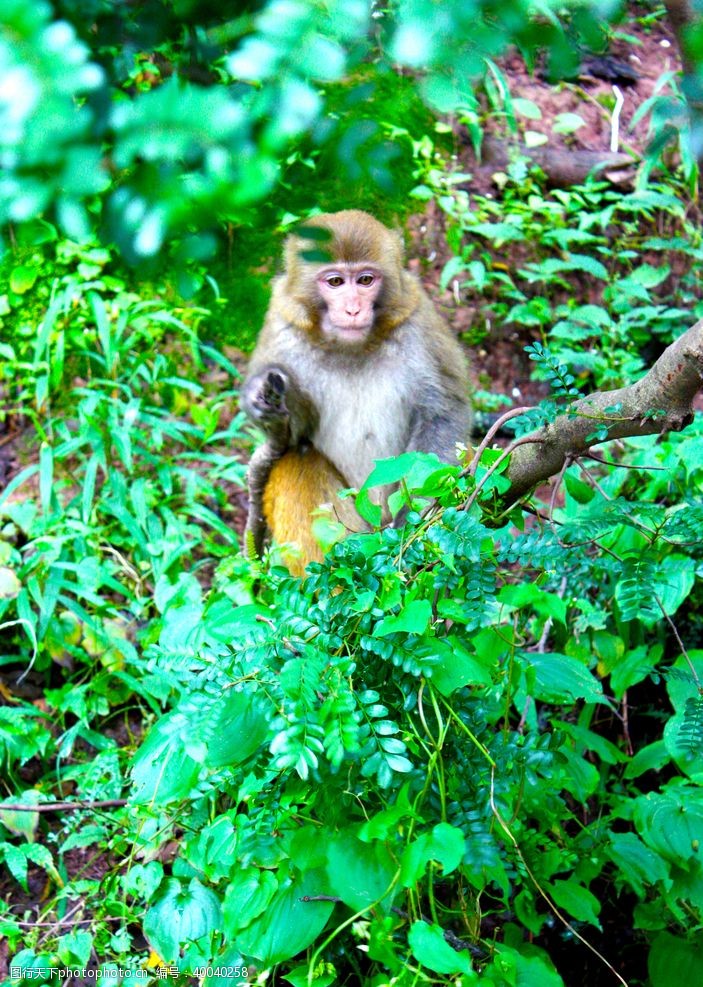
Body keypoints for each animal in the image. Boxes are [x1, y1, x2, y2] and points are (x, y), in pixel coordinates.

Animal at [242, 212, 472, 576]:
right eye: (335, 282)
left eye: (365, 280)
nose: (352, 309)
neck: (350, 347)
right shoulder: (282, 327)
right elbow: (290, 437)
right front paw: (259, 398)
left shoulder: (418, 321)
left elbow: (444, 415)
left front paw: (415, 523)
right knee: (297, 461)